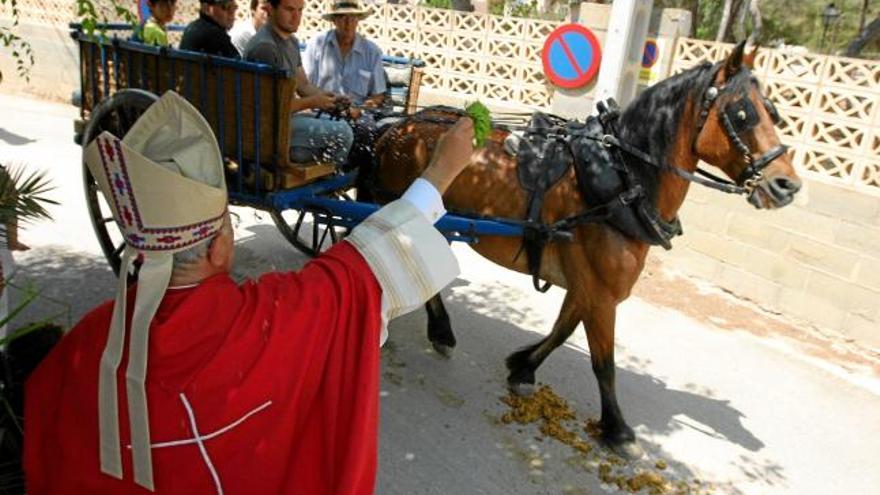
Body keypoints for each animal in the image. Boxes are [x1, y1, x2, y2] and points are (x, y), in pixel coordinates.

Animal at [368, 41, 800, 458]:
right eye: (741, 114)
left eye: (773, 112)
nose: (787, 186)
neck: (622, 178)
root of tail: (396, 128)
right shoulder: (601, 290)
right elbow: (604, 362)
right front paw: (618, 429)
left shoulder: (588, 284)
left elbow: (563, 329)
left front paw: (522, 367)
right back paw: (433, 330)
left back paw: (440, 330)